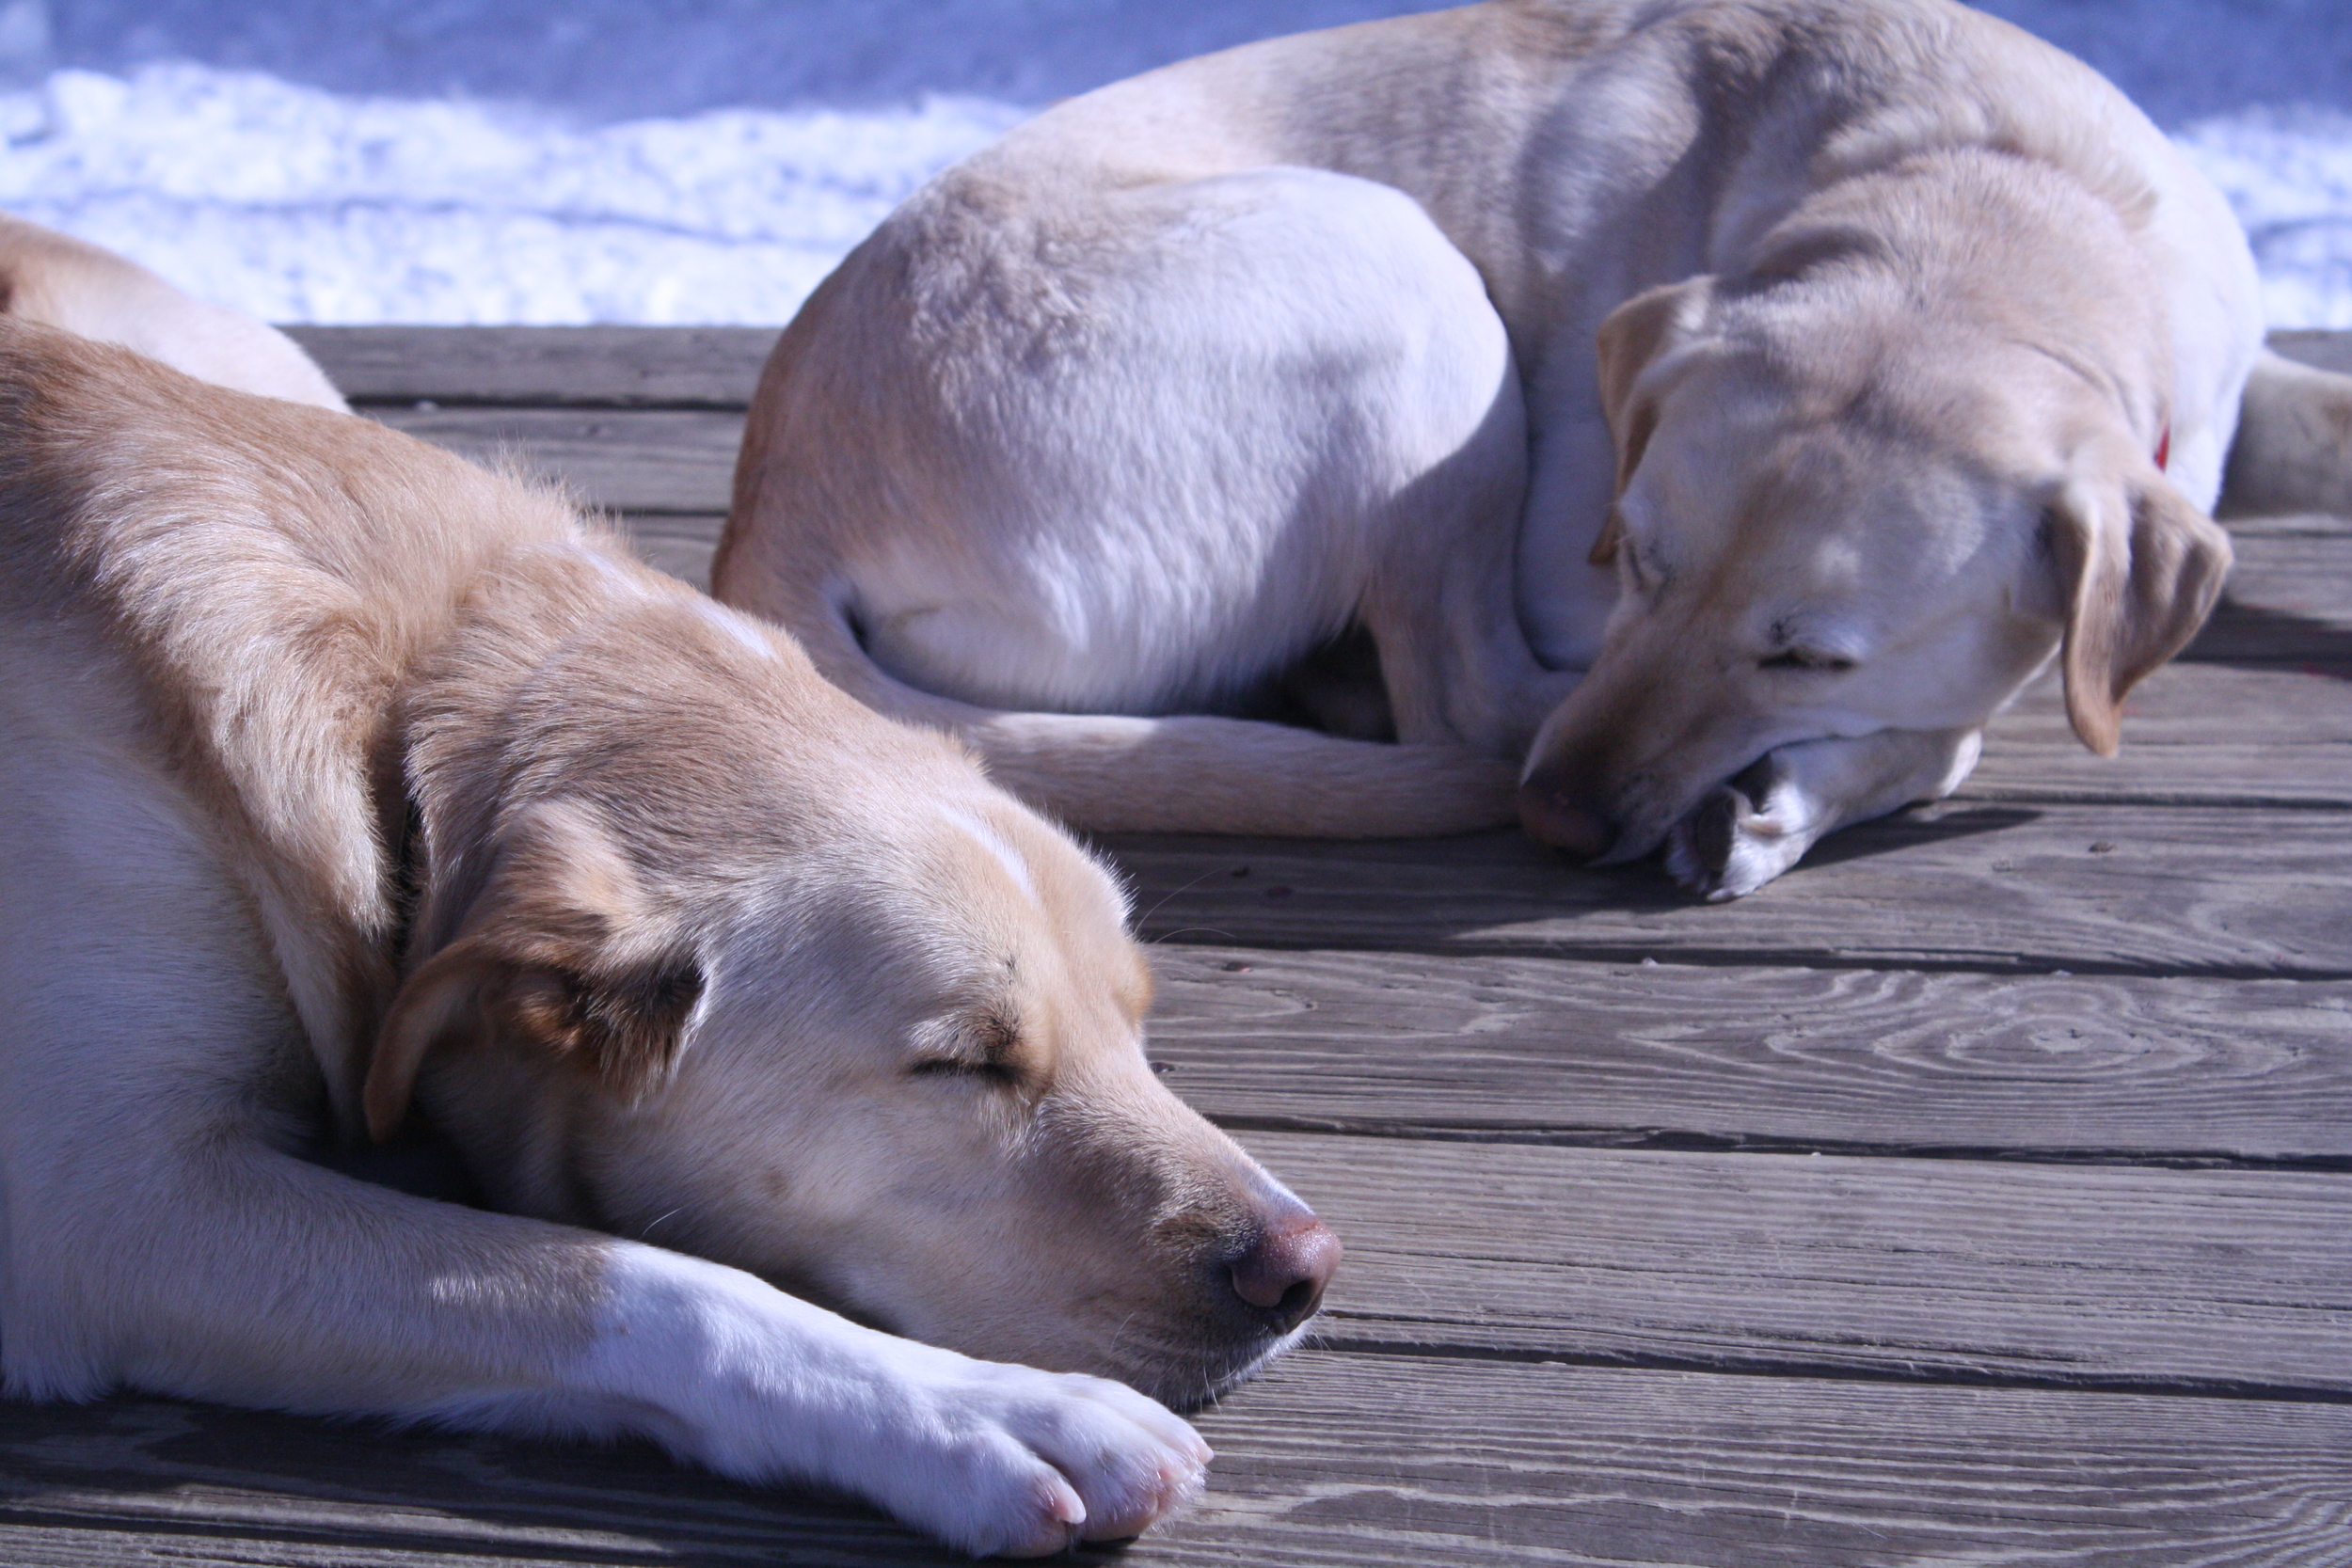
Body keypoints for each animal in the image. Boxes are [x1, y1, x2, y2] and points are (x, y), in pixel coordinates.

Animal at [710, 0, 2352, 902]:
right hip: (1412, 289)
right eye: (1634, 561)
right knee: (1469, 701)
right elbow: (1953, 727)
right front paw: (1795, 795)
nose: (1560, 821)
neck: (1998, 190)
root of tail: (765, 518)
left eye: (1805, 652)